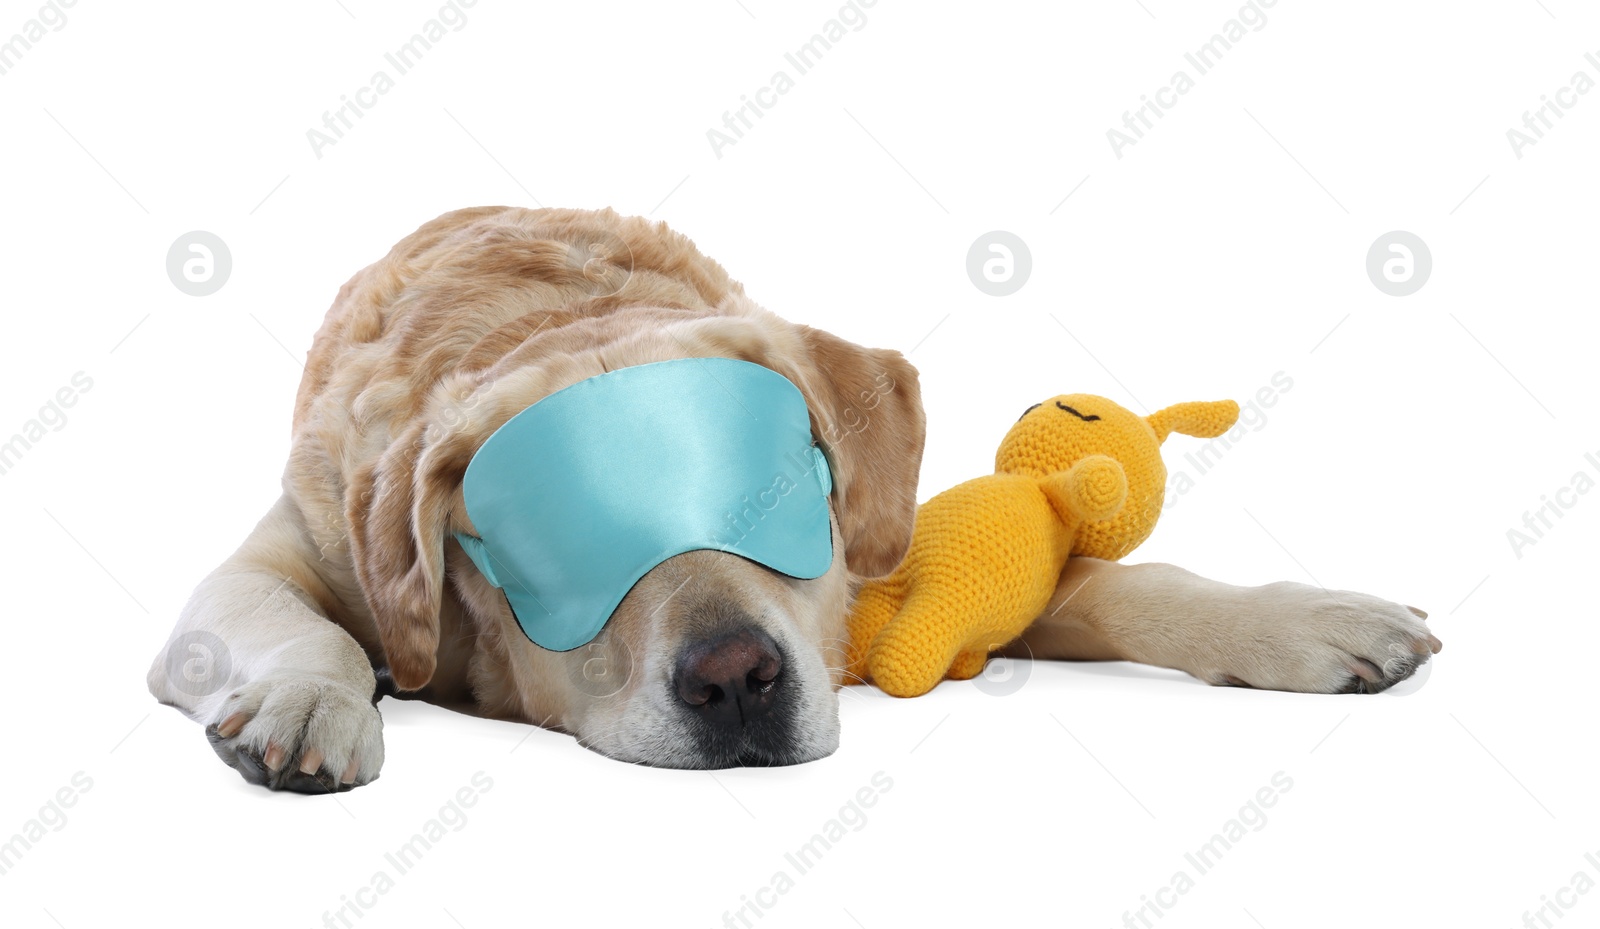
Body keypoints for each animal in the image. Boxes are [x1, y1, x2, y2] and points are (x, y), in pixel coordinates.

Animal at [144, 207, 1446, 789]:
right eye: (562, 548)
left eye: (774, 495)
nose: (735, 679)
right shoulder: (279, 561)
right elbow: (297, 622)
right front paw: (314, 700)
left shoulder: (881, 557)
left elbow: (1119, 580)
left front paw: (1309, 617)